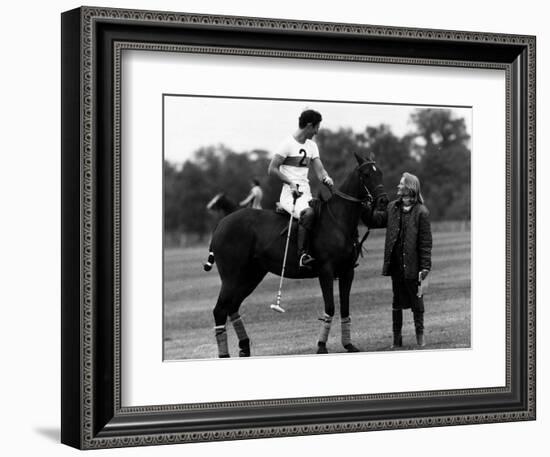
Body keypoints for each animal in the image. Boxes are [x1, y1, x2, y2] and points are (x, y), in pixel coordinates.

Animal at [205, 155, 390, 358]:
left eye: (380, 172)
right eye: (366, 174)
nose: (383, 201)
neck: (338, 221)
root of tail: (221, 224)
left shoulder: (348, 271)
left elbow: (345, 308)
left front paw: (349, 345)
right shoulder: (326, 271)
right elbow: (330, 307)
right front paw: (321, 346)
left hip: (251, 275)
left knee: (232, 306)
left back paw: (245, 348)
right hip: (231, 276)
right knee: (219, 309)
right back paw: (225, 354)